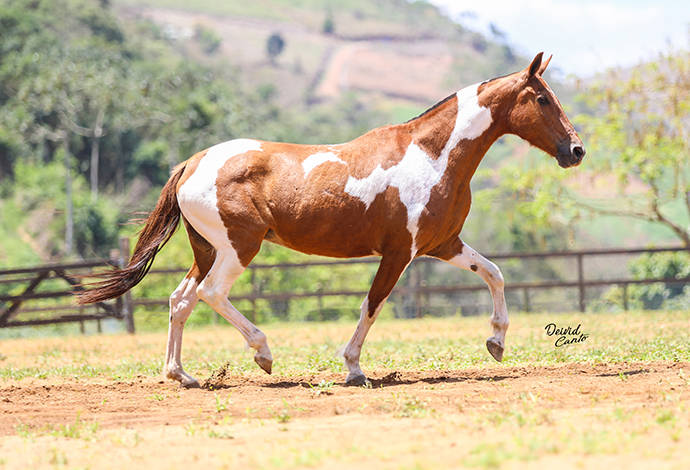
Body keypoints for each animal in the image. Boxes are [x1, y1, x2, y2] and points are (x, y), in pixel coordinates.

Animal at [78, 53, 584, 388]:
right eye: (542, 98)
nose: (576, 150)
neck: (433, 155)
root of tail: (191, 163)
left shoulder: (443, 245)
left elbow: (495, 274)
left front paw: (496, 343)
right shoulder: (399, 253)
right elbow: (372, 306)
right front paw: (354, 368)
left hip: (207, 250)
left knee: (180, 300)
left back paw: (181, 374)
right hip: (239, 248)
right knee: (211, 294)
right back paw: (263, 354)